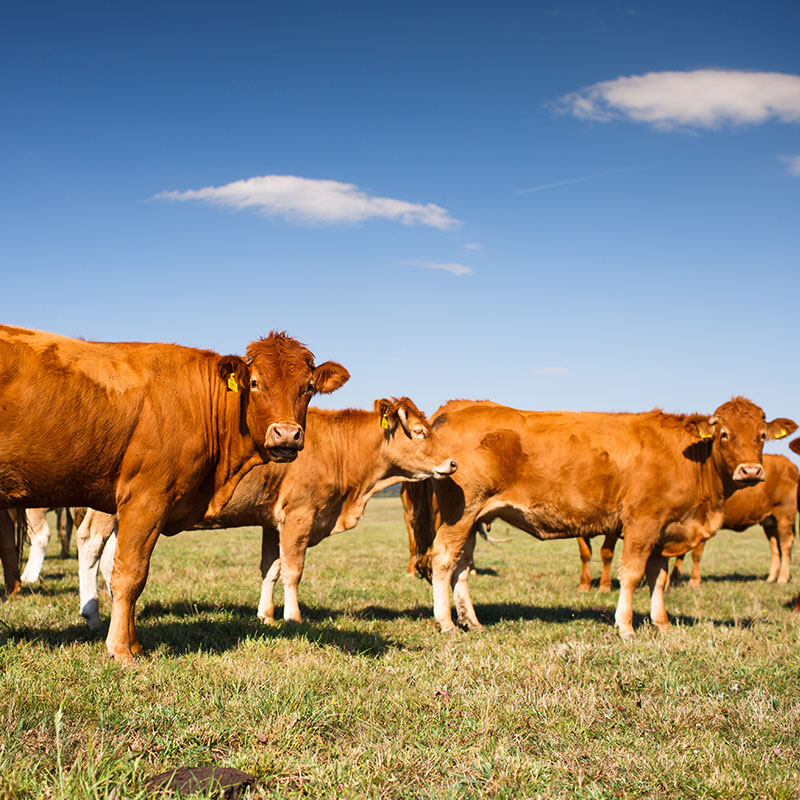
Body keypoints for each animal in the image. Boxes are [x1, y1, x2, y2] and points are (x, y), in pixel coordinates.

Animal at [0, 324, 346, 664]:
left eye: (309, 387)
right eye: (255, 382)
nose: (286, 434)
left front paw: (134, 645)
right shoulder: (147, 498)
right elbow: (129, 574)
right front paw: (121, 649)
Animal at [78, 396, 460, 628]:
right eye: (420, 432)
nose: (453, 462)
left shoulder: (271, 523)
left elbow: (271, 569)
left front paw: (266, 614)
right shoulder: (299, 516)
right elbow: (293, 570)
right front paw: (293, 617)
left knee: (112, 555)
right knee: (91, 545)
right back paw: (92, 613)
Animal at [580, 454, 796, 592]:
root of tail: (788, 462)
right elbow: (586, 553)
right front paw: (585, 585)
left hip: (785, 514)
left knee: (786, 544)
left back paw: (782, 578)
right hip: (769, 521)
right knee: (775, 545)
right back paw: (772, 577)